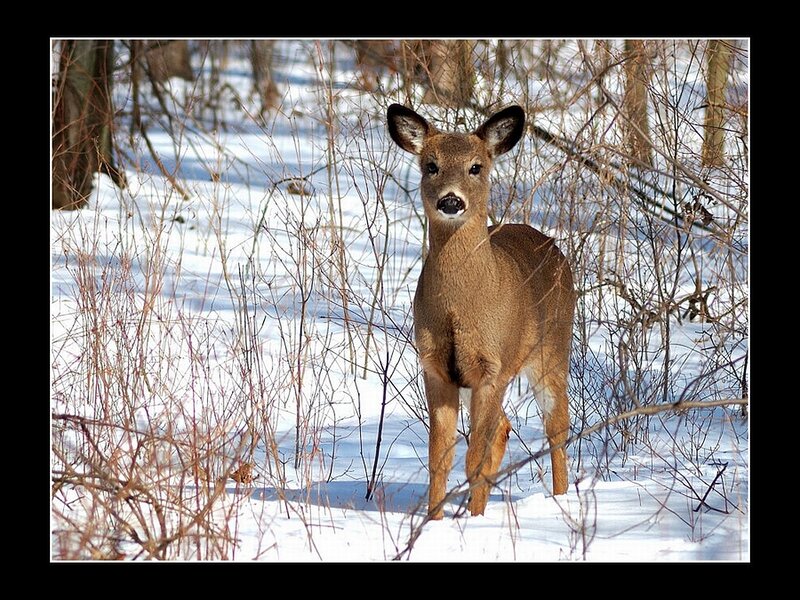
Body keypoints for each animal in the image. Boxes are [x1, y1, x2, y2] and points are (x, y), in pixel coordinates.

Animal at [387, 103, 575, 519]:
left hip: (552, 352)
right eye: (431, 165)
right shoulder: (436, 368)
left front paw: (473, 522)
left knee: (557, 428)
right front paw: (436, 520)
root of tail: (552, 246)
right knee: (505, 427)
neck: (461, 308)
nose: (451, 201)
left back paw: (560, 499)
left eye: (476, 167)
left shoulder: (493, 368)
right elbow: (439, 458)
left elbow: (473, 458)